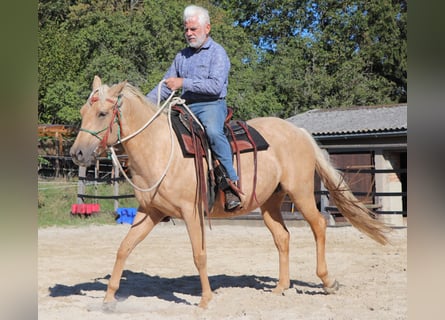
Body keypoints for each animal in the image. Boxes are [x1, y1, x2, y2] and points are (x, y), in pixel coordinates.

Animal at [69, 75, 388, 310]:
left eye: (102, 113)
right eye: (84, 112)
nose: (77, 153)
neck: (160, 147)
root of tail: (298, 131)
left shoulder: (191, 212)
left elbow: (199, 254)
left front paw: (206, 300)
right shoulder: (151, 212)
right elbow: (124, 248)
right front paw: (108, 298)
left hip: (300, 192)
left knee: (319, 225)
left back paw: (327, 281)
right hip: (270, 202)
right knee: (282, 237)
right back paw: (281, 287)